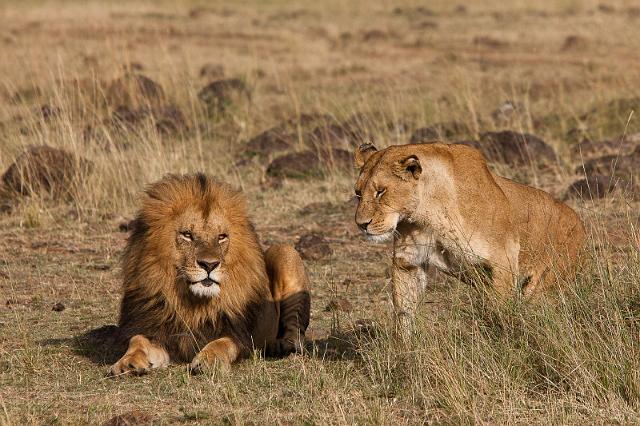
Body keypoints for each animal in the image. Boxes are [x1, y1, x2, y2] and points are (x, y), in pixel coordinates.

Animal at [110, 173, 310, 376]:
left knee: (296, 329)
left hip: (285, 252)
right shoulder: (158, 331)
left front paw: (209, 360)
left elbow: (223, 343)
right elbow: (137, 340)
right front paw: (128, 362)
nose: (209, 264)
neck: (193, 302)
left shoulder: (238, 335)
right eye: (187, 235)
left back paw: (282, 345)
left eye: (221, 237)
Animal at [356, 141, 584, 328]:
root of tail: (578, 220)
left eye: (380, 191)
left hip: (545, 284)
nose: (361, 224)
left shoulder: (504, 261)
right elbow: (404, 313)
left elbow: (501, 311)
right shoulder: (408, 262)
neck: (428, 213)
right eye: (358, 193)